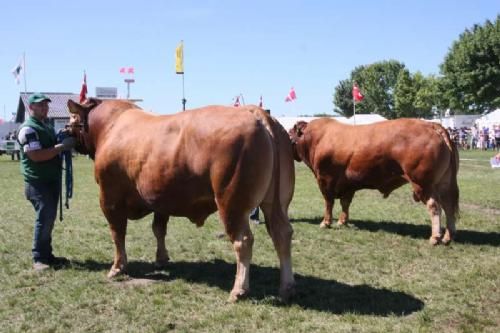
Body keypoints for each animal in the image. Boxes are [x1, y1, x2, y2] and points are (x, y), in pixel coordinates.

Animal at [68, 98, 298, 300]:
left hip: (232, 202)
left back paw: (239, 290)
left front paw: (117, 268)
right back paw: (286, 288)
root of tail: (254, 112)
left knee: (243, 241)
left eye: (72, 118)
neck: (111, 125)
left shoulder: (109, 197)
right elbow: (159, 229)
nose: (64, 131)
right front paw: (161, 259)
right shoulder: (160, 199)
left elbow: (117, 233)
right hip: (277, 201)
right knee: (282, 234)